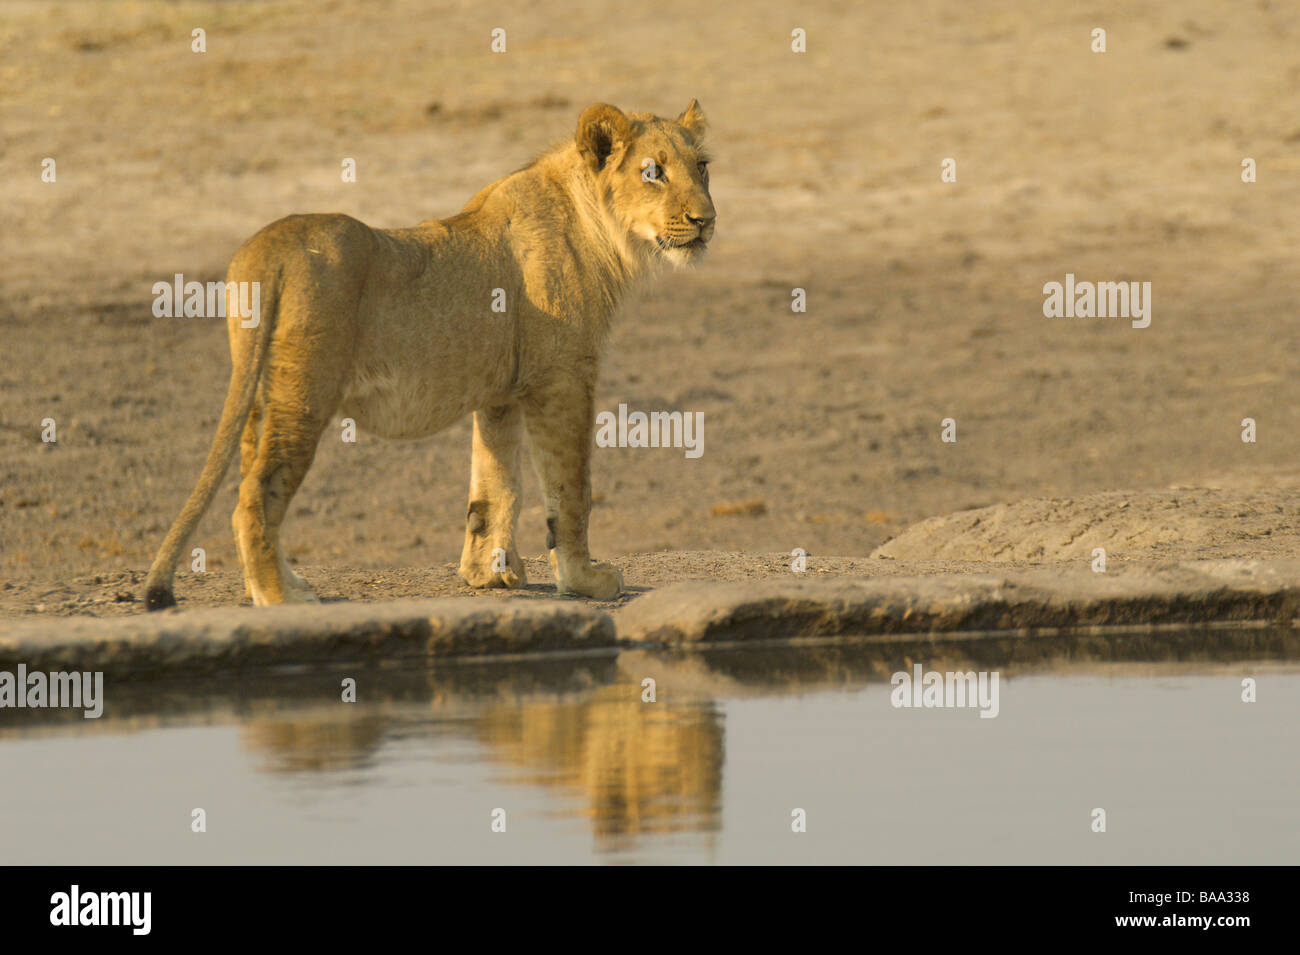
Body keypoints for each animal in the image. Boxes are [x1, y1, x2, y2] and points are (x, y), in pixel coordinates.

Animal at [143, 100, 715, 610]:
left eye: (703, 166)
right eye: (653, 172)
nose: (705, 220)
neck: (600, 229)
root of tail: (267, 250)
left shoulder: (500, 394)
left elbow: (495, 485)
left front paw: (489, 573)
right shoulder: (562, 379)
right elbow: (571, 488)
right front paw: (584, 579)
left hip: (261, 395)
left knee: (251, 483)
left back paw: (287, 584)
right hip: (302, 396)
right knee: (254, 497)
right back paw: (280, 598)